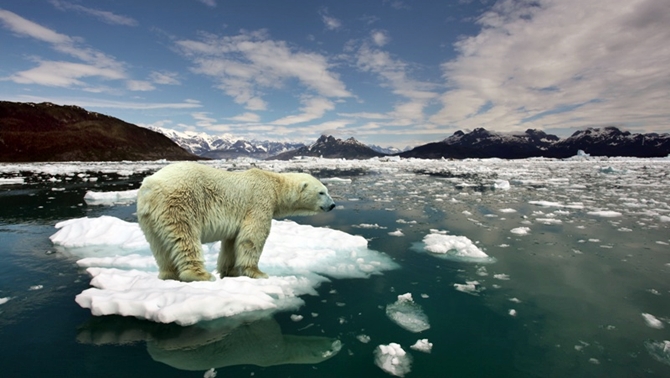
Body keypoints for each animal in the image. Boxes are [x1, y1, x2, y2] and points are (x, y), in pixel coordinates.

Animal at [136, 161, 336, 282]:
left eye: (327, 191)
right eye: (322, 192)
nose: (333, 205)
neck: (274, 185)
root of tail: (150, 186)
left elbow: (232, 242)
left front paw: (229, 272)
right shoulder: (259, 202)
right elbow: (252, 237)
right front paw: (258, 273)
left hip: (149, 217)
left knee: (159, 246)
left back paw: (168, 275)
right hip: (180, 203)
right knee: (185, 237)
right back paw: (200, 275)